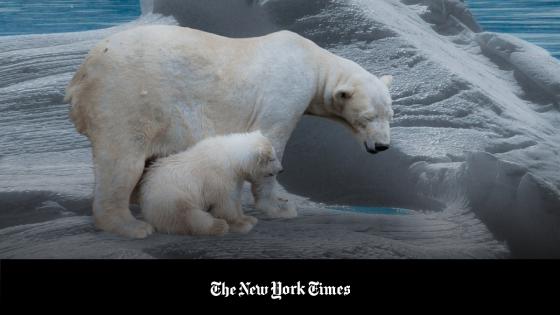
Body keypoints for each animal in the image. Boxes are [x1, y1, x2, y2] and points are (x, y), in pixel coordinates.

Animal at [64, 24, 394, 238]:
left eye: (390, 115)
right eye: (367, 118)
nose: (382, 146)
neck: (313, 62)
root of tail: (81, 74)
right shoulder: (284, 94)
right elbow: (271, 138)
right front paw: (280, 207)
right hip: (124, 97)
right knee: (123, 161)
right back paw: (132, 226)